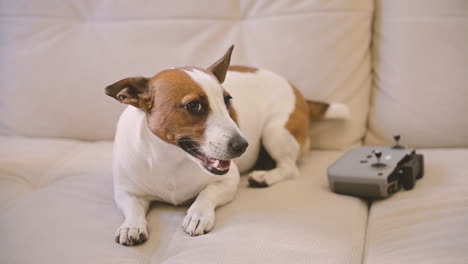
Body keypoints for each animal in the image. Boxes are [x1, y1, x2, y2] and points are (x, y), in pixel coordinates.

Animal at [105, 45, 348, 245]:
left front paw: (198, 214)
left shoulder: (229, 181)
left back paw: (265, 176)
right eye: (194, 106)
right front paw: (132, 225)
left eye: (227, 100)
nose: (243, 145)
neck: (171, 159)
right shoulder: (125, 192)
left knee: (290, 168)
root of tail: (299, 93)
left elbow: (207, 193)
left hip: (275, 132)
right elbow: (133, 208)